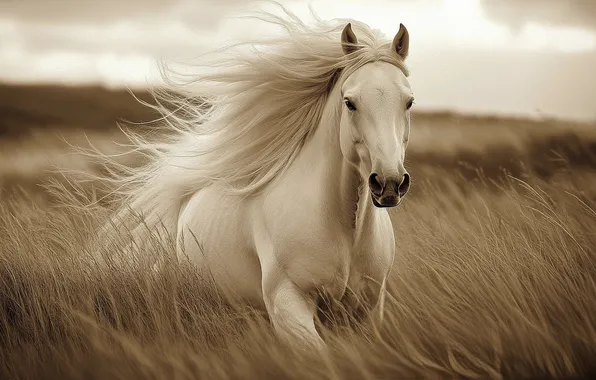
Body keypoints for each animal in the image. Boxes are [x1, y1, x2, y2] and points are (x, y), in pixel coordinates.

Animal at [99, 5, 414, 350]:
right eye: (350, 103)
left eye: (409, 102)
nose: (388, 183)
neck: (346, 231)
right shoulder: (288, 305)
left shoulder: (366, 313)